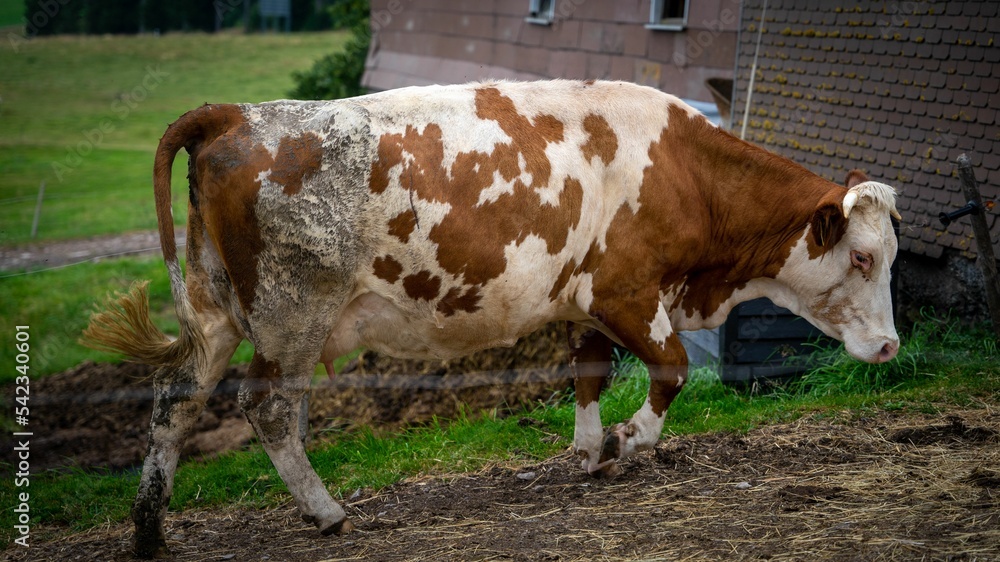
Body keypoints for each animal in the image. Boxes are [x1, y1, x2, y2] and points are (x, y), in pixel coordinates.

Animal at [82, 79, 900, 558]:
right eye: (863, 257)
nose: (892, 345)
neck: (684, 172)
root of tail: (235, 112)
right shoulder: (628, 292)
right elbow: (672, 370)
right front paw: (626, 442)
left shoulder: (588, 301)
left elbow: (587, 373)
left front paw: (589, 450)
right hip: (292, 314)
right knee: (269, 408)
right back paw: (327, 512)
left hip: (215, 308)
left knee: (175, 399)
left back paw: (150, 528)